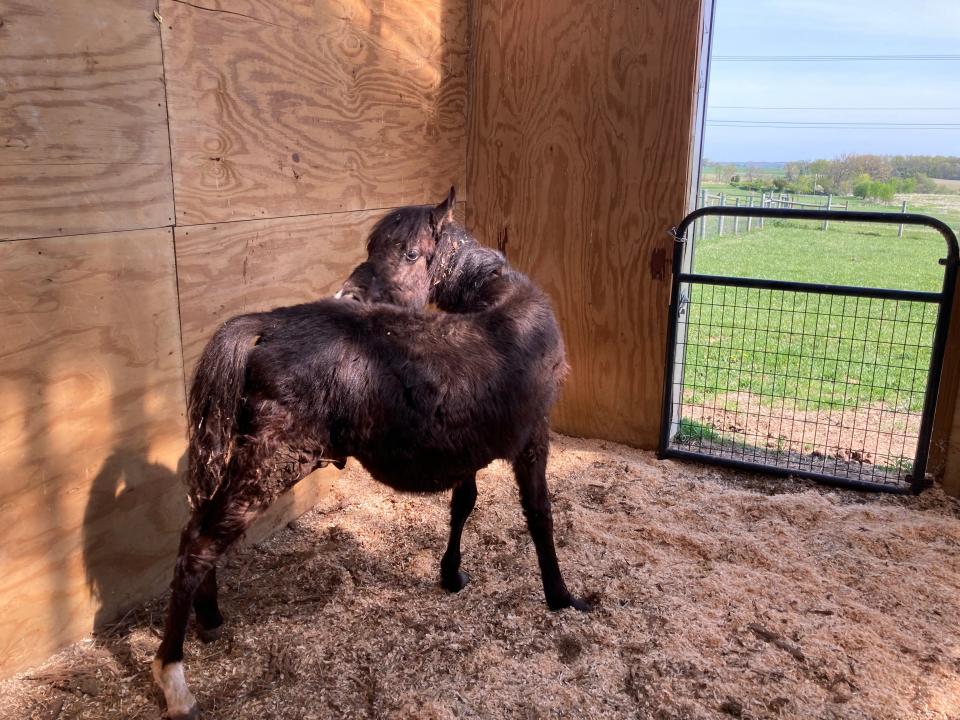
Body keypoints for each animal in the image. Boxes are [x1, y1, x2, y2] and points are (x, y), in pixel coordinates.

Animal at [153, 191, 588, 720]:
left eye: (410, 253)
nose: (349, 296)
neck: (502, 308)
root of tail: (271, 321)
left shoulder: (468, 448)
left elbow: (463, 505)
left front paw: (452, 574)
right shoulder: (533, 439)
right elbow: (540, 515)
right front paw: (562, 597)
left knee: (202, 528)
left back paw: (211, 618)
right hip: (271, 461)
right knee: (199, 543)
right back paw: (175, 681)